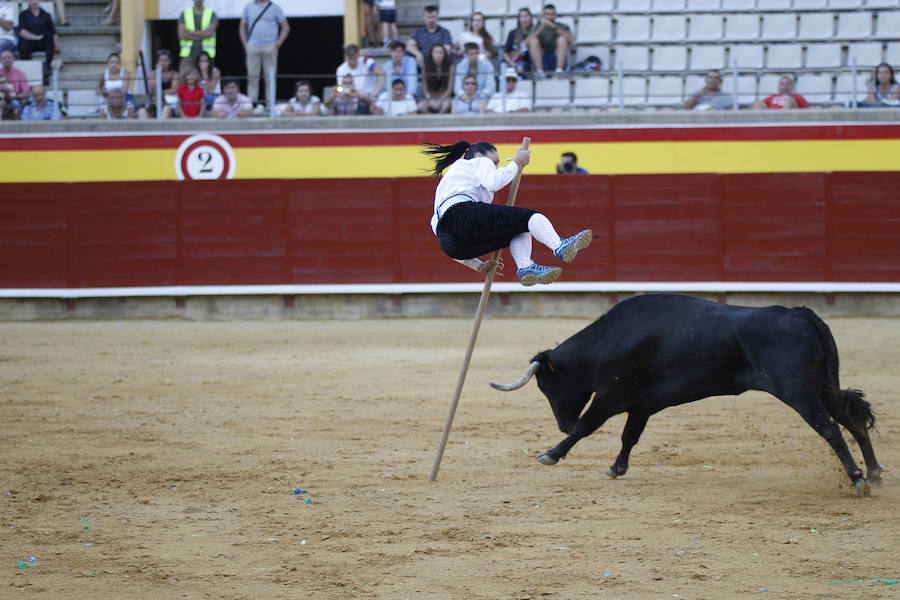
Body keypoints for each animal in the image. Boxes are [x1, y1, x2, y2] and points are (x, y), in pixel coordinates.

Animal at [492, 292, 880, 494]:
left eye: (545, 386)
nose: (561, 423)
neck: (608, 341)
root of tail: (802, 314)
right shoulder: (641, 405)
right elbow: (629, 437)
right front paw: (617, 467)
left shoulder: (611, 396)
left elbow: (587, 426)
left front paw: (551, 454)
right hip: (824, 385)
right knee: (852, 421)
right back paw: (874, 472)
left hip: (799, 391)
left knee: (831, 429)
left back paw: (859, 479)